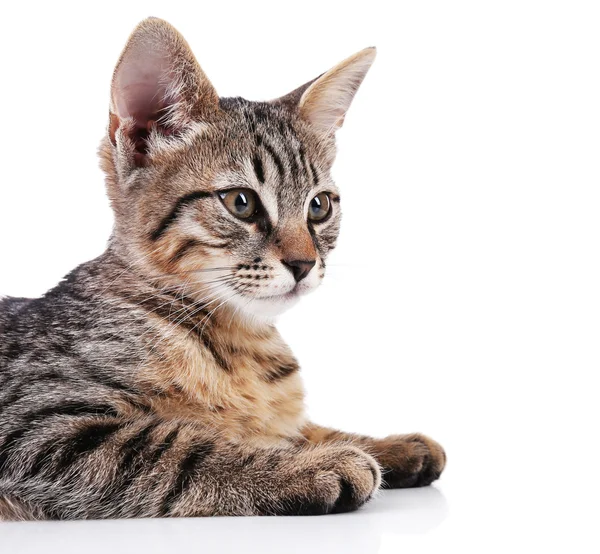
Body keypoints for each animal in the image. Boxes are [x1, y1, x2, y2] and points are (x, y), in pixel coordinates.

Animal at [0, 18, 442, 516]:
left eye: (319, 206)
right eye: (241, 202)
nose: (304, 263)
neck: (241, 337)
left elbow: (298, 428)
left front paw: (387, 444)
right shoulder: (36, 423)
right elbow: (179, 449)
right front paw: (313, 465)